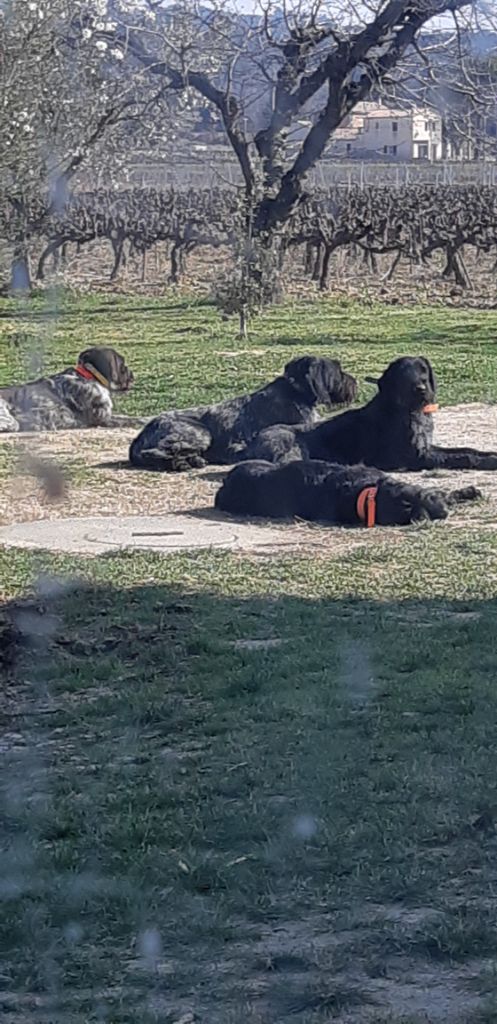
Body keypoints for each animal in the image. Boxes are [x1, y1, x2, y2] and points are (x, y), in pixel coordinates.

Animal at [128, 356, 356, 471]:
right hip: (201, 433)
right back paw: (178, 463)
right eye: (338, 371)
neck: (296, 390)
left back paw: (190, 460)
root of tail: (142, 433)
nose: (355, 382)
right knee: (155, 452)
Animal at [244, 356, 497, 471]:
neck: (407, 410)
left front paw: (489, 454)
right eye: (404, 374)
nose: (422, 388)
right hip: (289, 442)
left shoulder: (426, 446)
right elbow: (461, 457)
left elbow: (465, 449)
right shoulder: (413, 457)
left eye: (423, 370)